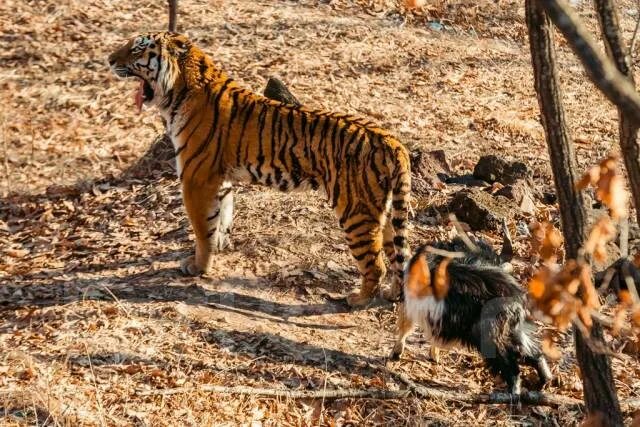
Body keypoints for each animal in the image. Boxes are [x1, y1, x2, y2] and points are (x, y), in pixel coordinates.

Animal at [107, 33, 412, 308]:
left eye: (137, 48)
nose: (109, 60)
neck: (178, 91)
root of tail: (392, 140)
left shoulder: (196, 179)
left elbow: (202, 228)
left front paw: (198, 267)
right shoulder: (218, 179)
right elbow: (220, 217)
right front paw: (219, 245)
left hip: (355, 211)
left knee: (375, 263)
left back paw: (358, 299)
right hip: (383, 211)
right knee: (398, 256)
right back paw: (392, 294)